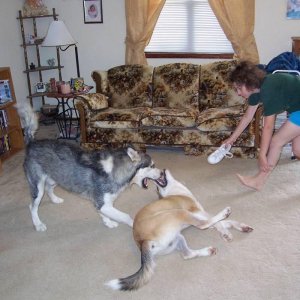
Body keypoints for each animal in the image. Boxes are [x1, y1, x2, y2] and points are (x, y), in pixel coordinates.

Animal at [106, 170, 252, 290]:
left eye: (157, 187)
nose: (162, 171)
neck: (173, 191)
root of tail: (142, 241)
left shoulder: (199, 214)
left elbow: (224, 223)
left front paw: (241, 226)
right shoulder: (197, 212)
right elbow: (217, 223)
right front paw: (226, 233)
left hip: (177, 237)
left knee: (188, 255)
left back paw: (208, 251)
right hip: (178, 213)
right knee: (203, 225)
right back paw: (224, 212)